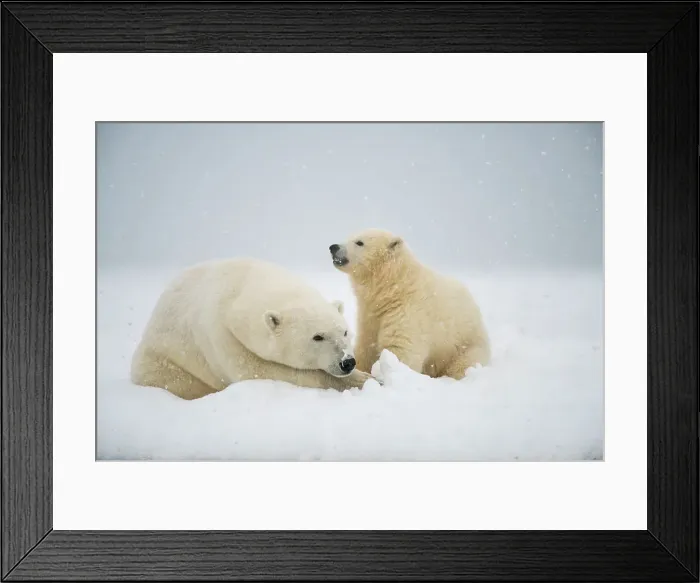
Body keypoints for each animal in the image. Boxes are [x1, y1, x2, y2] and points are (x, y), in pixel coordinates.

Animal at [130, 258, 374, 400]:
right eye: (317, 337)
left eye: (344, 332)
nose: (347, 362)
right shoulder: (223, 336)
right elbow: (262, 371)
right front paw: (363, 380)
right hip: (167, 368)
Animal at [328, 228, 491, 380]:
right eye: (349, 237)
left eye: (359, 242)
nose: (333, 247)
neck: (395, 287)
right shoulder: (370, 316)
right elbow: (366, 346)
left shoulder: (408, 312)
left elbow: (400, 351)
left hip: (466, 346)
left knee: (462, 365)